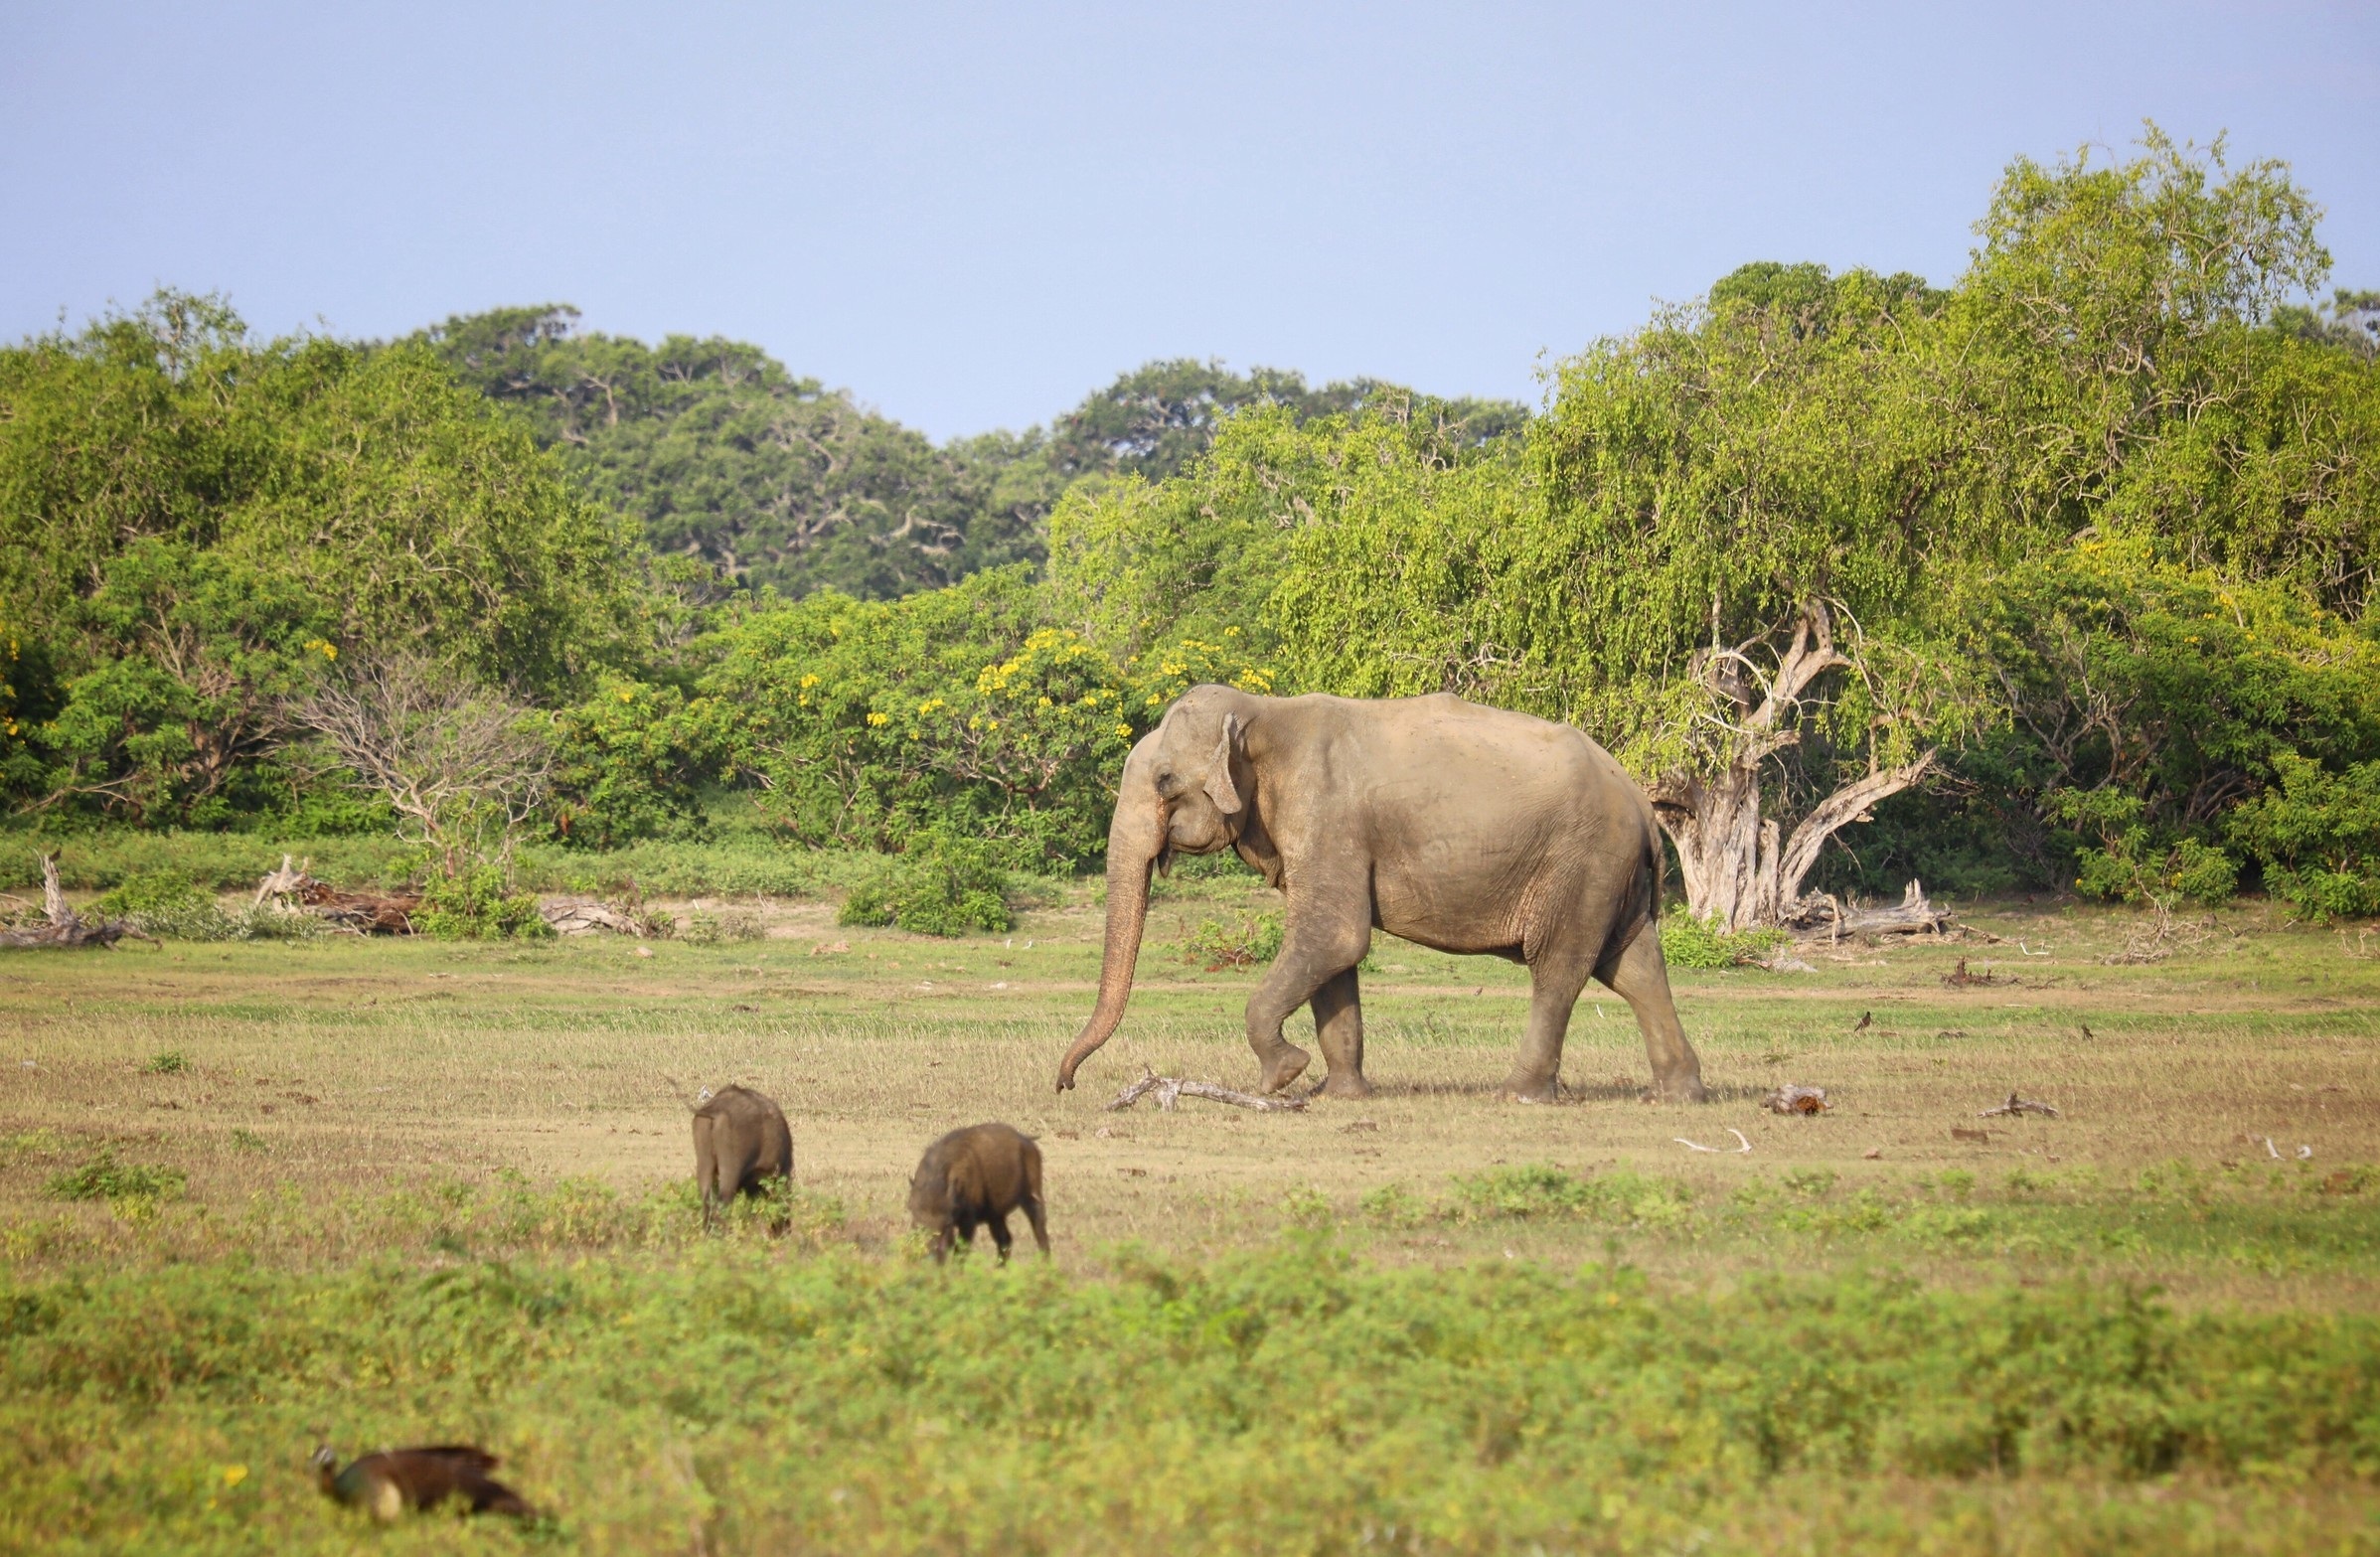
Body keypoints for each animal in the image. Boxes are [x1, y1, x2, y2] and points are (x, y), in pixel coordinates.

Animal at [1051, 690, 1703, 1104]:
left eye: (1164, 782)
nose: (1065, 1085)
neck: (1264, 711)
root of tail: (1641, 805)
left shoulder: (1327, 818)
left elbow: (1335, 937)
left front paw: (1281, 1078)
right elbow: (1334, 958)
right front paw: (1337, 1094)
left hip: (1581, 864)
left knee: (1561, 969)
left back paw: (1518, 1096)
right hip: (1611, 876)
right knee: (1635, 967)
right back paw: (1677, 1096)